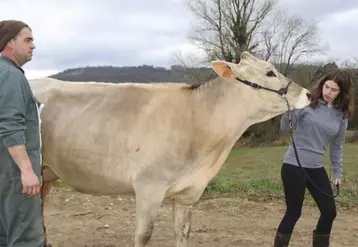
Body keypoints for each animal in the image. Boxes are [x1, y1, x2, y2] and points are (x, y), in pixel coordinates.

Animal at [29, 50, 310, 247]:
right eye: (270, 72)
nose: (308, 94)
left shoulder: (188, 192)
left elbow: (183, 232)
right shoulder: (148, 186)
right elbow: (144, 235)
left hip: (47, 173)